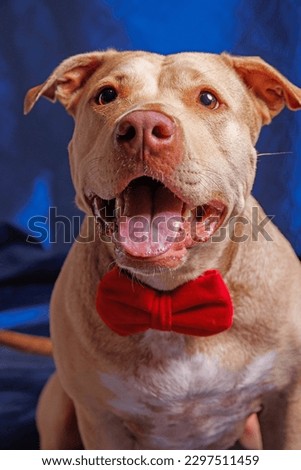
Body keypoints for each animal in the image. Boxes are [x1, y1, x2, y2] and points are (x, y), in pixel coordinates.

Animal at [21, 49, 300, 450]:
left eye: (208, 99)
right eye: (106, 95)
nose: (142, 126)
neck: (170, 297)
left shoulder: (286, 403)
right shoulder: (101, 421)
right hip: (60, 404)